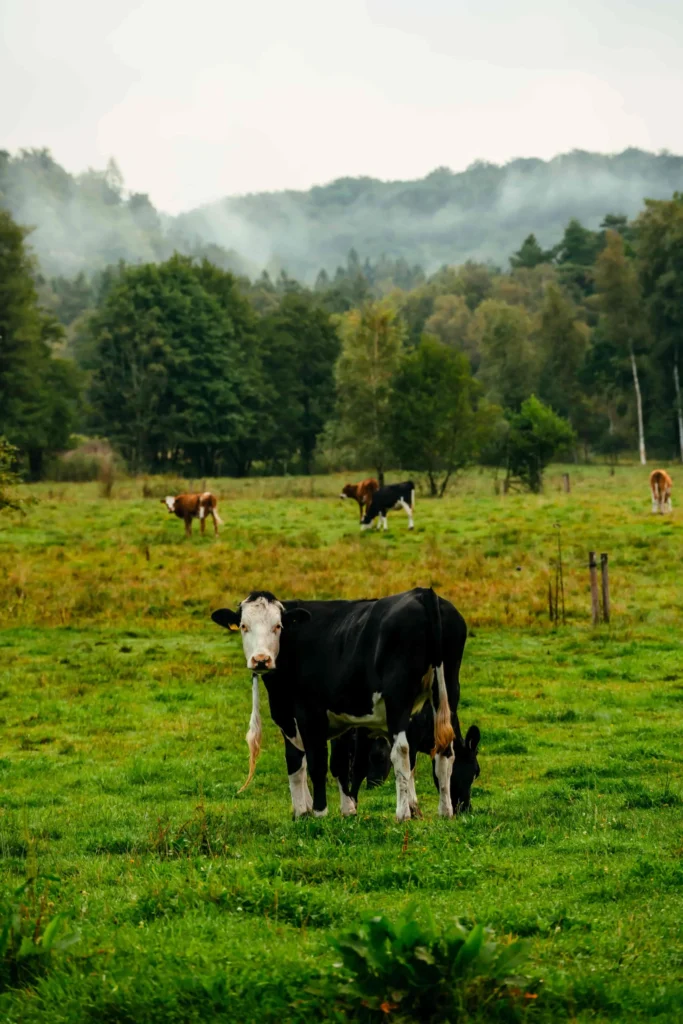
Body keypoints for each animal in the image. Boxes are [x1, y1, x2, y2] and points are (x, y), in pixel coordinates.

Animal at [210, 589, 466, 819]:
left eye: (278, 626)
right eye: (244, 626)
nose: (261, 660)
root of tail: (423, 594)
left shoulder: (302, 714)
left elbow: (309, 762)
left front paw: (313, 812)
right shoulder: (338, 720)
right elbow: (339, 764)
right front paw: (345, 811)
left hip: (398, 698)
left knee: (402, 751)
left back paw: (403, 813)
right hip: (447, 692)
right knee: (446, 751)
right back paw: (445, 811)